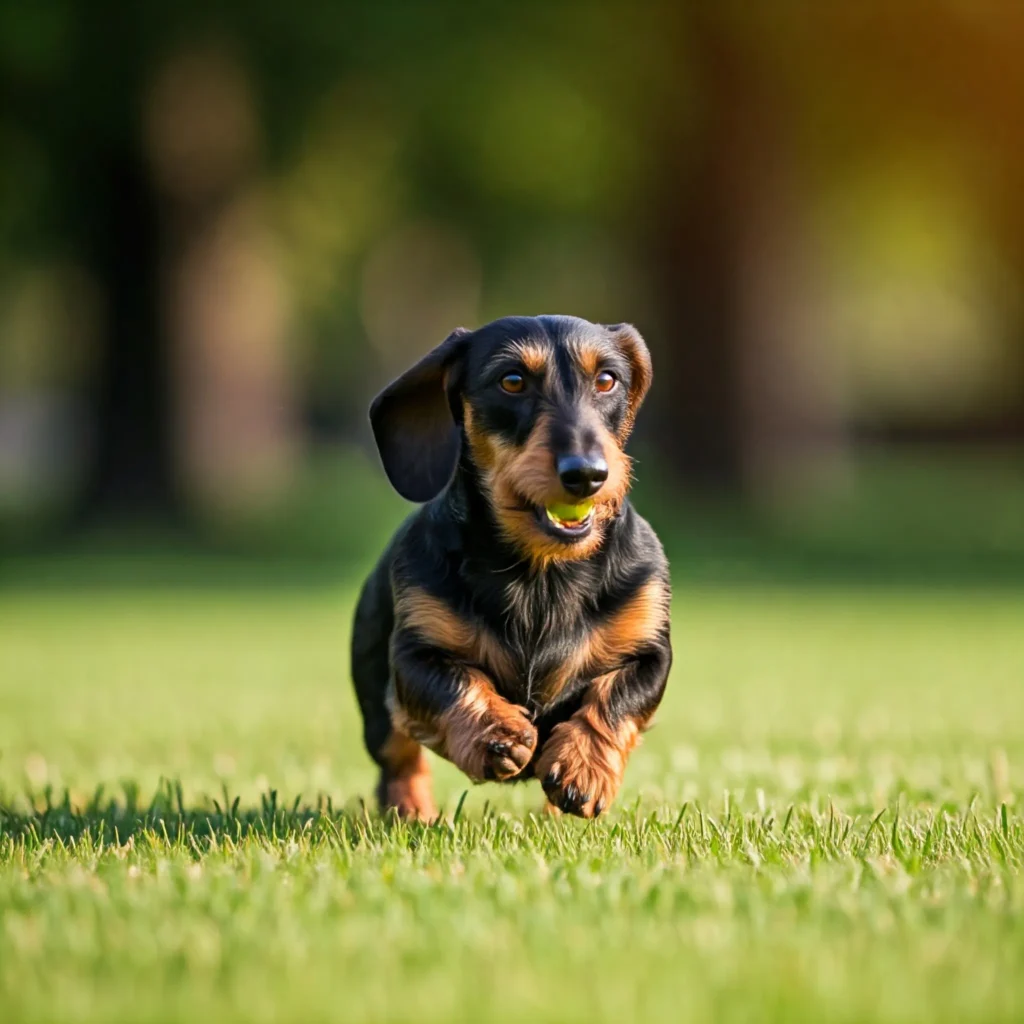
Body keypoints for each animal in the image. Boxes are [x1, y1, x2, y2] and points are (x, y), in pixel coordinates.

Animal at [352, 315, 671, 819]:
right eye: (513, 381)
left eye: (606, 380)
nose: (586, 474)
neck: (544, 571)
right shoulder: (414, 656)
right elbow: (458, 681)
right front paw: (495, 735)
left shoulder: (650, 651)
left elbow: (614, 697)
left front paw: (583, 767)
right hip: (375, 702)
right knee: (399, 758)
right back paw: (412, 810)